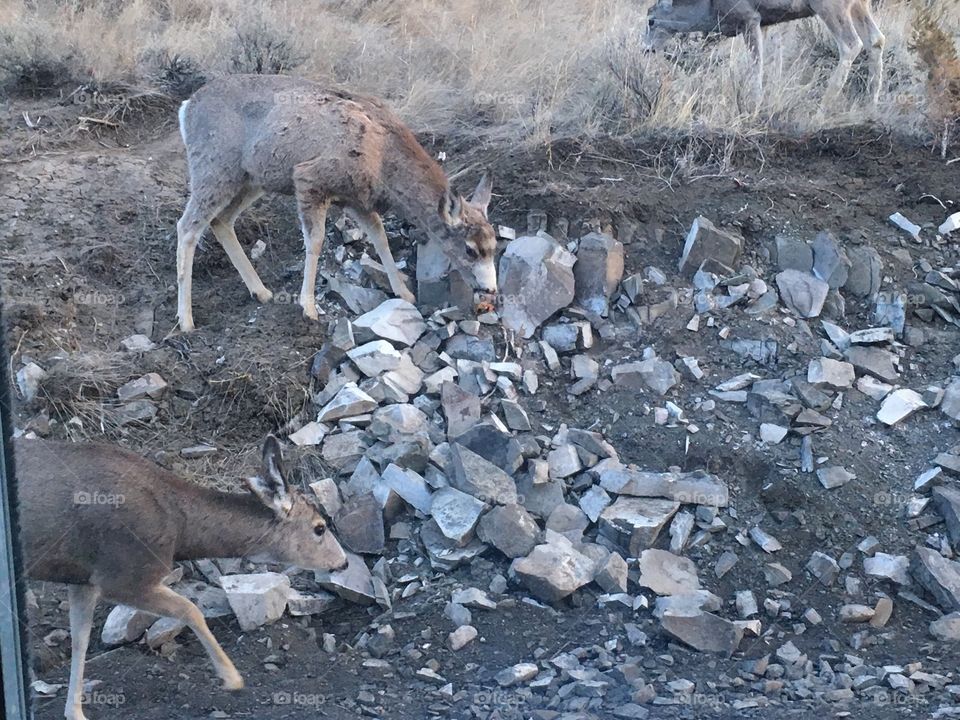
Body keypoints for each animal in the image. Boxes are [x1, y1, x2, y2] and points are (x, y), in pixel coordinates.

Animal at [16, 435, 347, 720]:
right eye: (319, 527)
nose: (343, 562)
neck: (180, 530)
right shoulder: (123, 575)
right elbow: (191, 609)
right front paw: (232, 678)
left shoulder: (83, 579)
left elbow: (80, 640)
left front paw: (75, 712)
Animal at [175, 74, 498, 332]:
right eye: (470, 249)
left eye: (494, 246)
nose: (490, 289)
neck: (382, 158)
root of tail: (185, 108)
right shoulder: (309, 178)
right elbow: (315, 242)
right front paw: (308, 307)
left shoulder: (357, 199)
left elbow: (380, 238)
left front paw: (404, 293)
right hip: (214, 167)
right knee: (187, 226)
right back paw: (186, 320)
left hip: (249, 179)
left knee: (220, 221)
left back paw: (261, 292)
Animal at [644, 0, 885, 103]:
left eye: (651, 21)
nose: (647, 49)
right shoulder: (766, 23)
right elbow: (768, 60)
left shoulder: (749, 18)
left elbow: (756, 63)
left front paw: (755, 104)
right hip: (859, 6)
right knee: (876, 40)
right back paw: (870, 105)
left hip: (830, 6)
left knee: (850, 44)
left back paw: (823, 108)